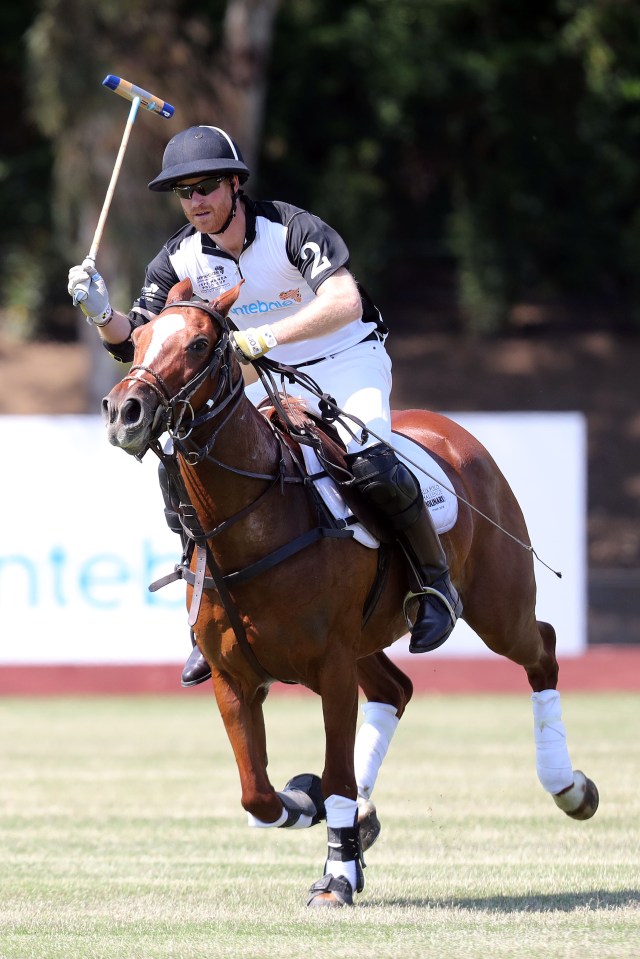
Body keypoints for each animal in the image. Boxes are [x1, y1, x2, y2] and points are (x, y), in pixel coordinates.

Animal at [102, 284, 596, 908]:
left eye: (197, 343)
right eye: (140, 338)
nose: (124, 412)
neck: (255, 518)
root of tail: (452, 430)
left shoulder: (331, 666)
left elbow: (332, 774)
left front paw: (337, 874)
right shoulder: (232, 677)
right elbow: (258, 796)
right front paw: (314, 807)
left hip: (497, 605)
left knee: (542, 649)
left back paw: (569, 787)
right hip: (369, 638)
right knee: (395, 689)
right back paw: (361, 822)